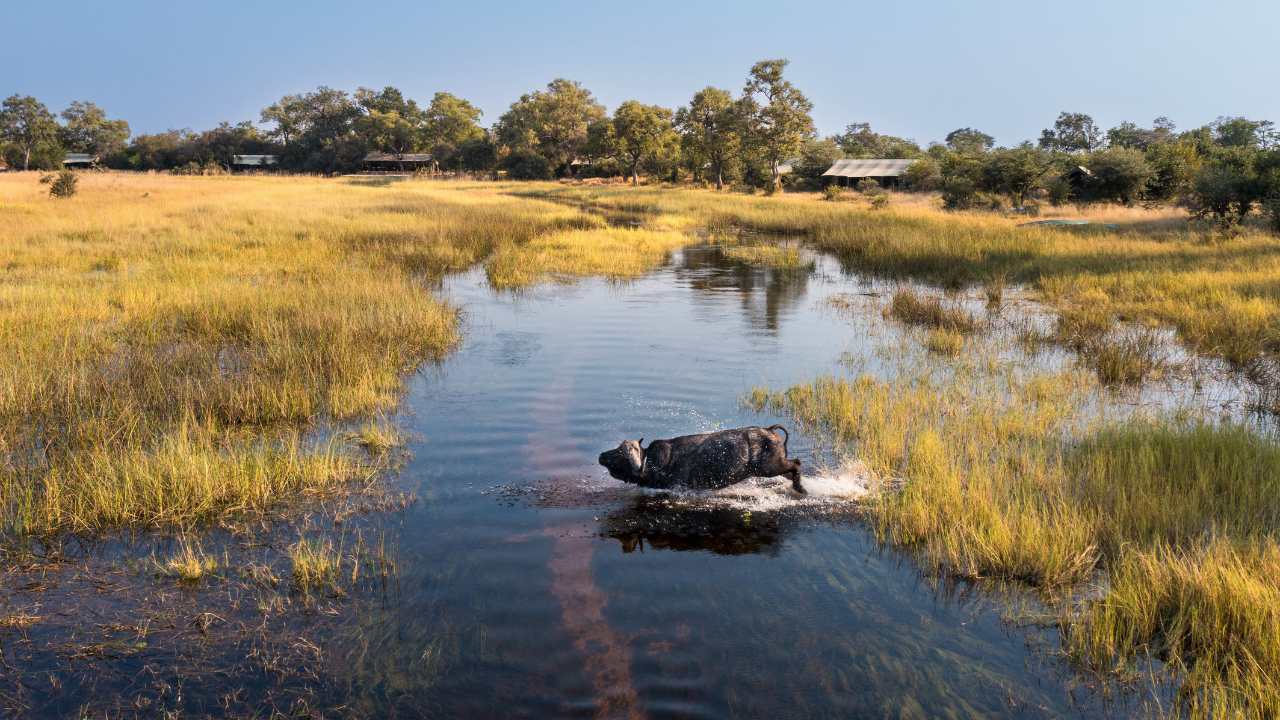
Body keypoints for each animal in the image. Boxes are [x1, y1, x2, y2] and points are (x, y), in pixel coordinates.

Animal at [598, 425, 804, 494]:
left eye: (619, 453)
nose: (601, 455)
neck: (650, 463)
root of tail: (769, 430)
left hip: (771, 467)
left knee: (796, 464)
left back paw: (800, 489)